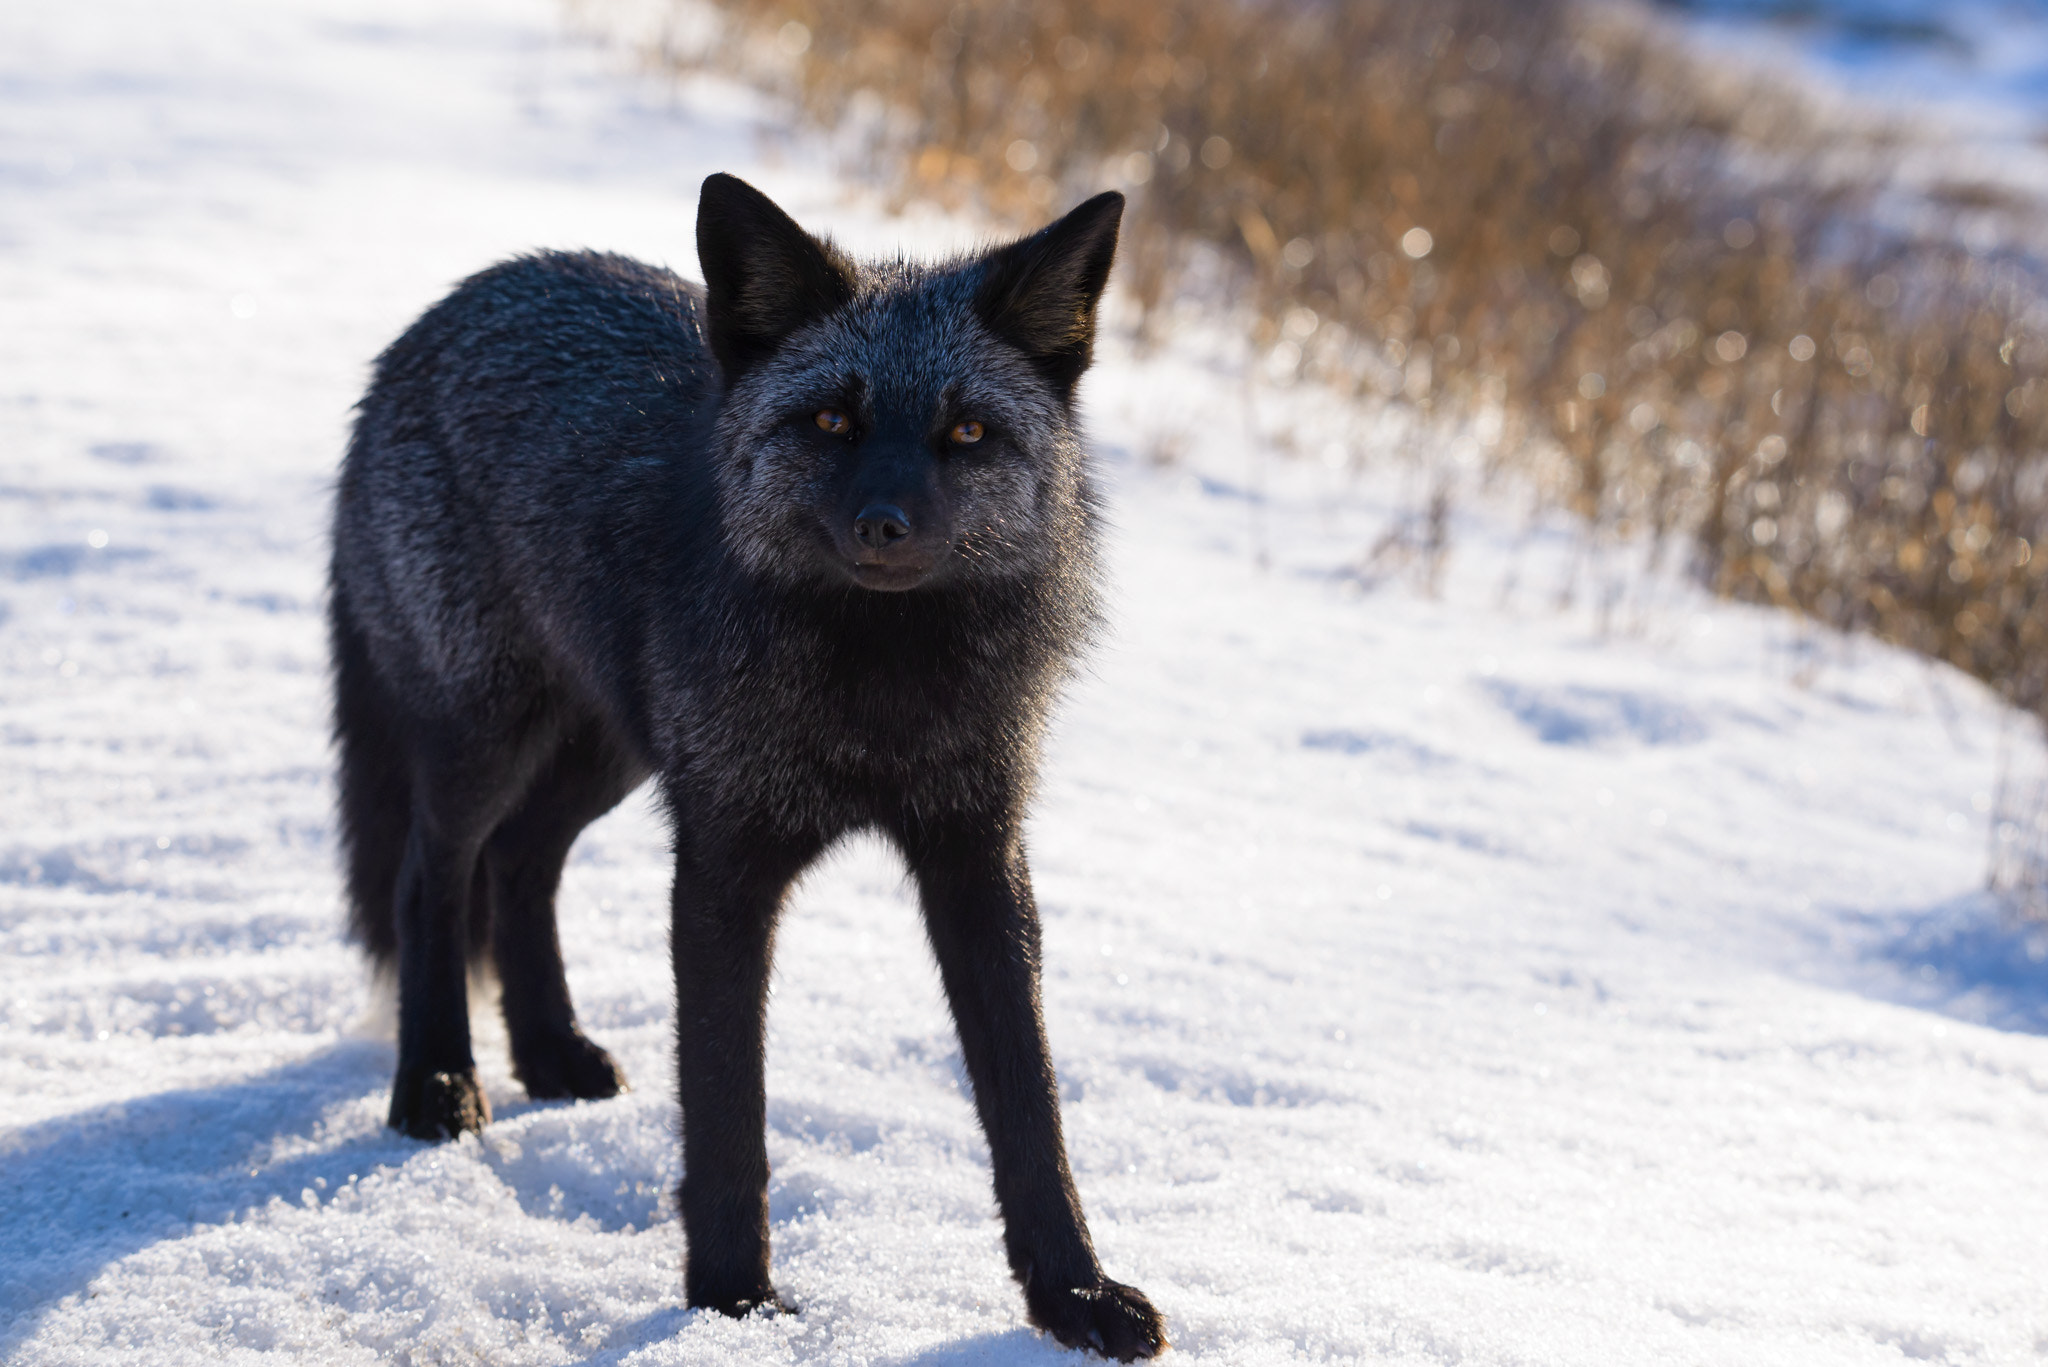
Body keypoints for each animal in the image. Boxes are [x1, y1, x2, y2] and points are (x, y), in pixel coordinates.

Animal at [328, 173, 1164, 1359]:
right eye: (830, 420)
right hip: (487, 735)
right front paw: (732, 1300)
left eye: (966, 429)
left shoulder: (978, 859)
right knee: (432, 875)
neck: (879, 700)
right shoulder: (723, 862)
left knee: (523, 862)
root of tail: (445, 312)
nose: (884, 523)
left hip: (609, 750)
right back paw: (438, 1081)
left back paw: (551, 1053)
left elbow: (1030, 1107)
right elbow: (728, 1110)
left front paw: (1073, 1296)